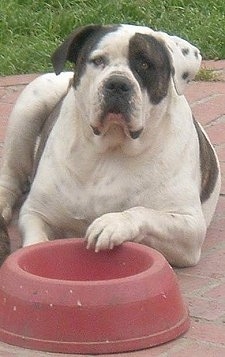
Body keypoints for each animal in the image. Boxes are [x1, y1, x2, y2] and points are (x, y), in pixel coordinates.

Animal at [0, 24, 221, 264]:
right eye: (98, 61)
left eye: (145, 64)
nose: (117, 83)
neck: (110, 146)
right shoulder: (36, 212)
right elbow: (35, 242)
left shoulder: (189, 226)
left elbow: (143, 212)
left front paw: (112, 223)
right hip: (31, 101)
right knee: (11, 176)